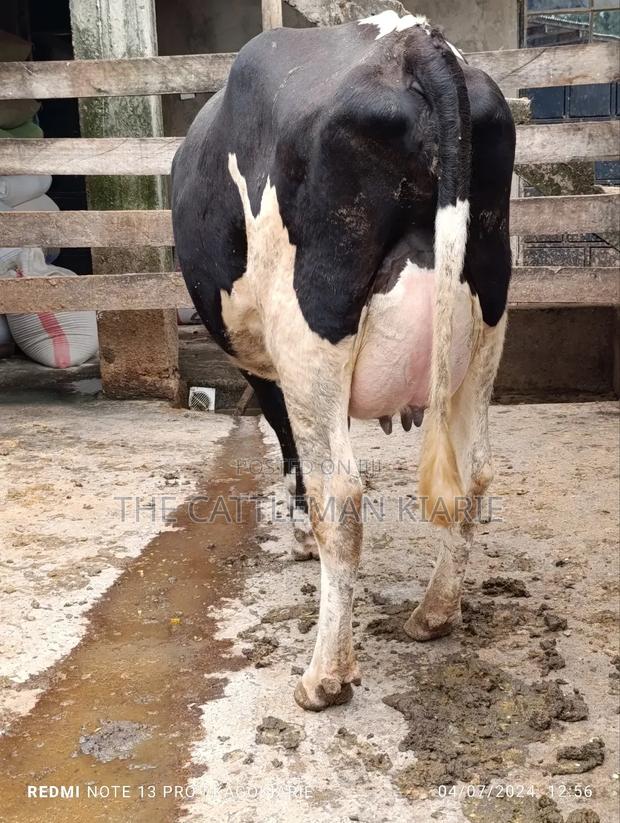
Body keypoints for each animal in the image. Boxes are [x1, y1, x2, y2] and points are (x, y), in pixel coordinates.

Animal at [171, 10, 516, 711]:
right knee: (473, 474)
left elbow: (288, 449)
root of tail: (411, 41)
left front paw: (301, 537)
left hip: (310, 326)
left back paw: (324, 677)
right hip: (486, 317)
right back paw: (434, 614)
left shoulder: (263, 364)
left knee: (343, 494)